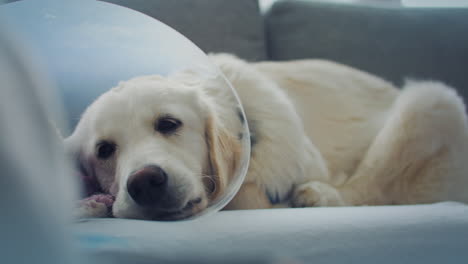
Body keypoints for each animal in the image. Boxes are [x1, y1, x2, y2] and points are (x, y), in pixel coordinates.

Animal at [66, 53, 468, 221]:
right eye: (104, 150)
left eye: (168, 124)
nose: (145, 183)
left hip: (431, 101)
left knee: (364, 190)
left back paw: (316, 196)